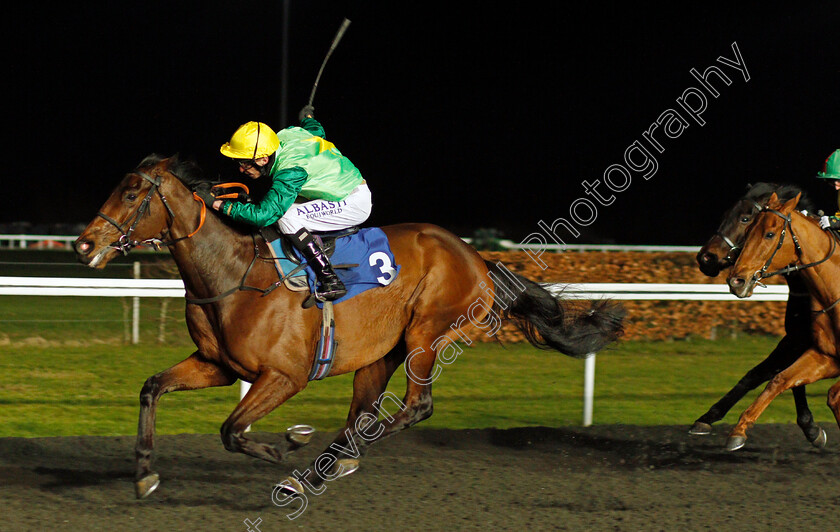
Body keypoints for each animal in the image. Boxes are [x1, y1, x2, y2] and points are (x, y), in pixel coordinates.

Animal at [74, 155, 624, 498]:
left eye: (130, 193)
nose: (83, 244)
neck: (234, 275)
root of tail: (478, 259)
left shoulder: (285, 376)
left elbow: (231, 430)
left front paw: (285, 447)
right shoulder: (218, 365)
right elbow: (151, 388)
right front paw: (144, 474)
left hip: (427, 334)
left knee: (414, 407)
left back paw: (314, 469)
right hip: (381, 353)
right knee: (364, 412)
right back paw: (330, 461)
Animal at [688, 183, 828, 448]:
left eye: (745, 219)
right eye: (725, 214)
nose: (706, 258)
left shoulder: (808, 341)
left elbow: (777, 374)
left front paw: (810, 427)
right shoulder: (796, 337)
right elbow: (759, 375)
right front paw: (707, 417)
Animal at [728, 193, 840, 450]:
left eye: (769, 234)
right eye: (749, 229)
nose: (736, 280)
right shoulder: (826, 356)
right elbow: (780, 379)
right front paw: (738, 431)